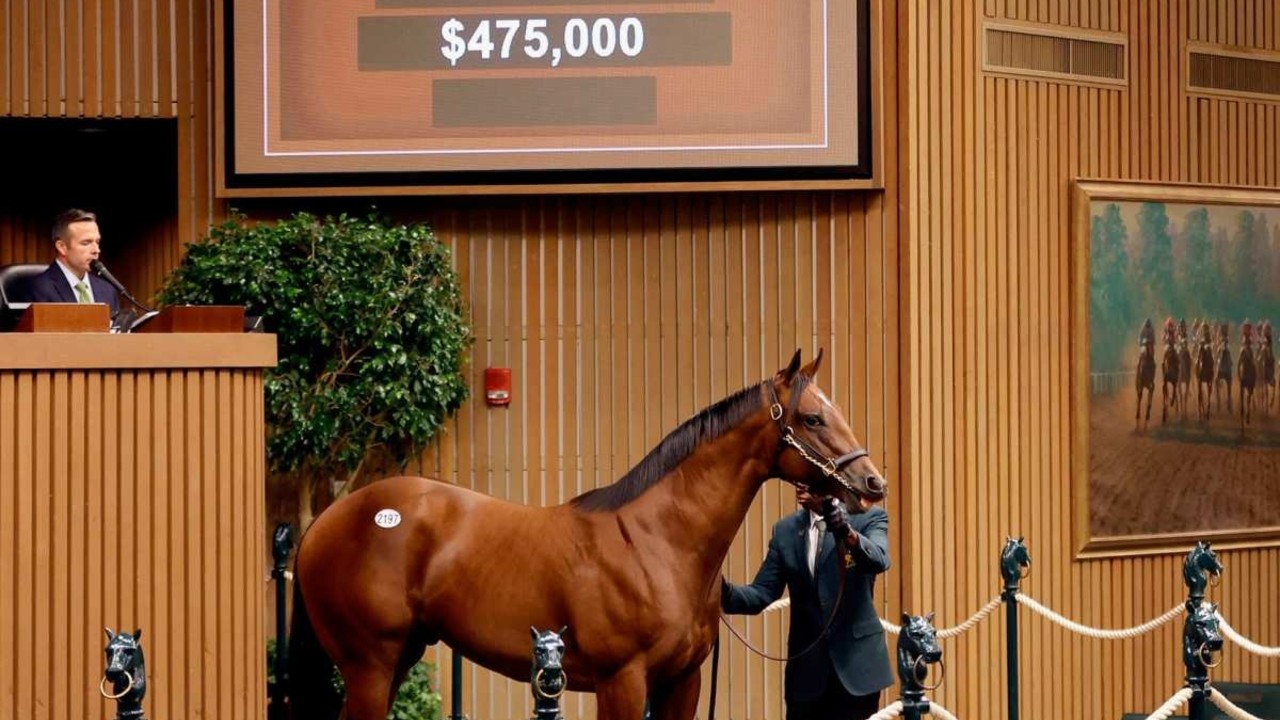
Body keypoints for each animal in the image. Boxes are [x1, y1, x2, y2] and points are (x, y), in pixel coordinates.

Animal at [293, 348, 890, 717]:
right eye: (812, 419)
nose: (872, 482)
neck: (658, 542)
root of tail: (323, 523)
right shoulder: (621, 681)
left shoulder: (682, 682)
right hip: (370, 664)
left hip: (397, 657)